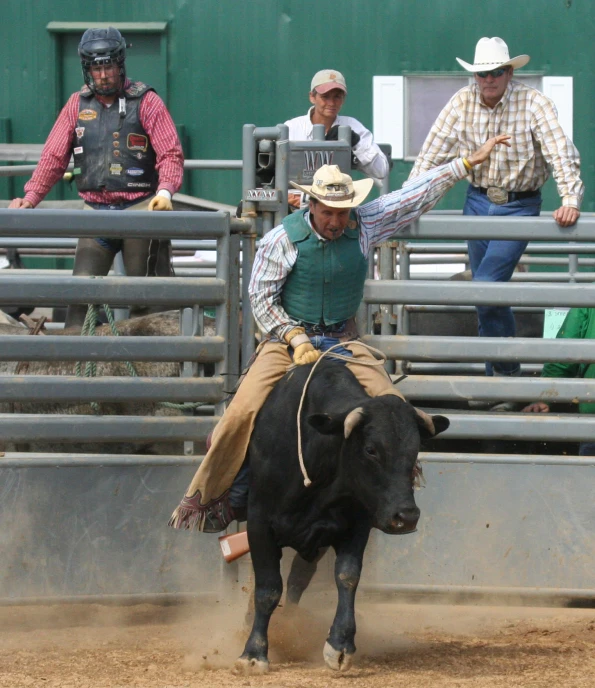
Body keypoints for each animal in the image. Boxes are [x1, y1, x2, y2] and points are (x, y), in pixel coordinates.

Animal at [235, 360, 450, 672]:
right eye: (371, 449)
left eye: (414, 450)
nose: (407, 516)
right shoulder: (258, 524)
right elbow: (267, 588)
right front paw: (253, 653)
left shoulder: (356, 525)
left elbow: (347, 576)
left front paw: (339, 645)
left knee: (299, 579)